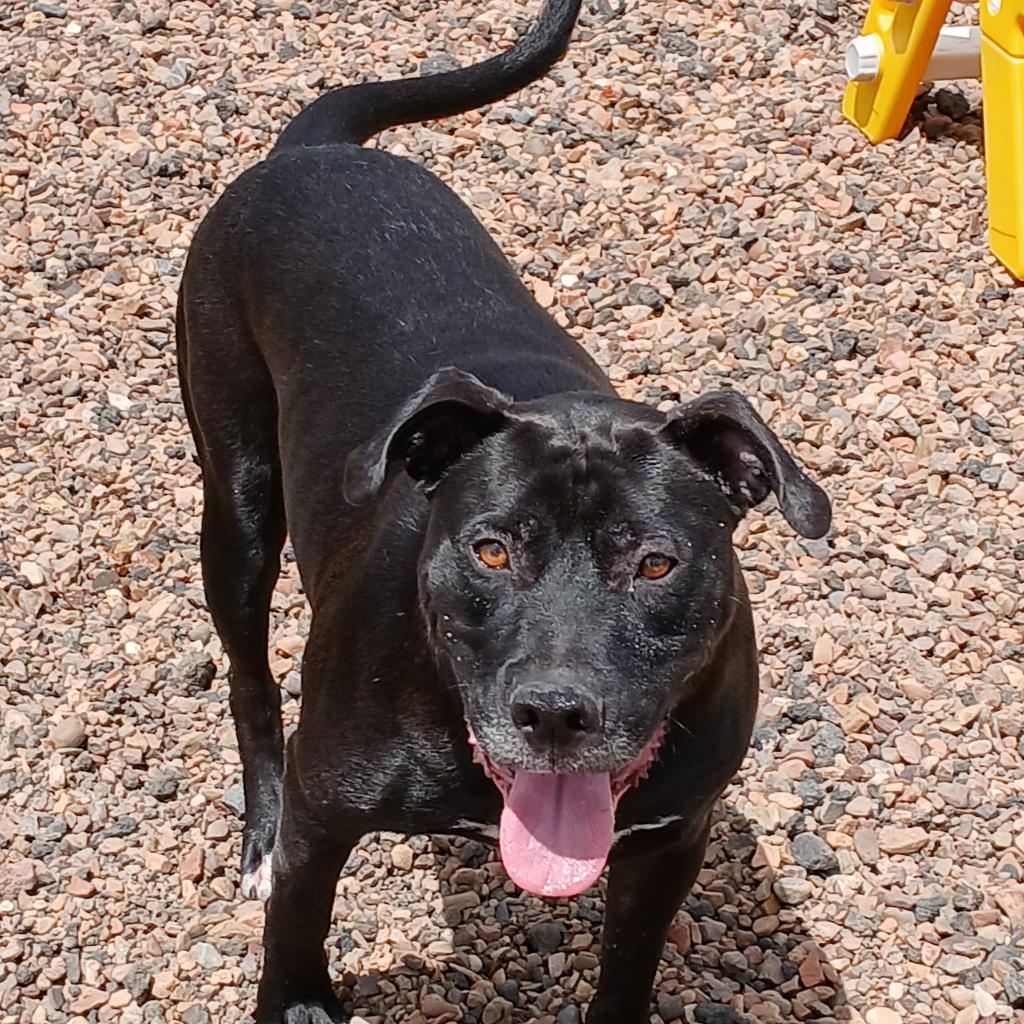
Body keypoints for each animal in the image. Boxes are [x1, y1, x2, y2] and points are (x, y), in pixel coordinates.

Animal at [176, 4, 831, 1019]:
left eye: (656, 563)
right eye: (490, 552)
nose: (555, 712)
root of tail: (315, 153)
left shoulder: (667, 845)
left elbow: (628, 969)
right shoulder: (325, 817)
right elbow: (295, 935)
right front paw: (297, 993)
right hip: (237, 502)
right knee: (250, 678)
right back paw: (257, 833)